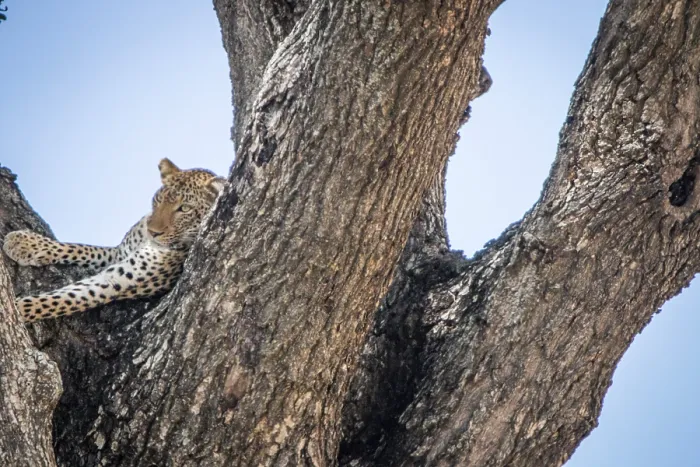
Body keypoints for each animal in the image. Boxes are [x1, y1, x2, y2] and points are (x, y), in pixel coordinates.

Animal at [2, 158, 225, 322]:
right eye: (158, 200)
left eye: (184, 209)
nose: (152, 232)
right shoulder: (119, 253)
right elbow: (82, 248)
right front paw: (25, 243)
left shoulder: (118, 280)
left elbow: (64, 299)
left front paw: (17, 309)